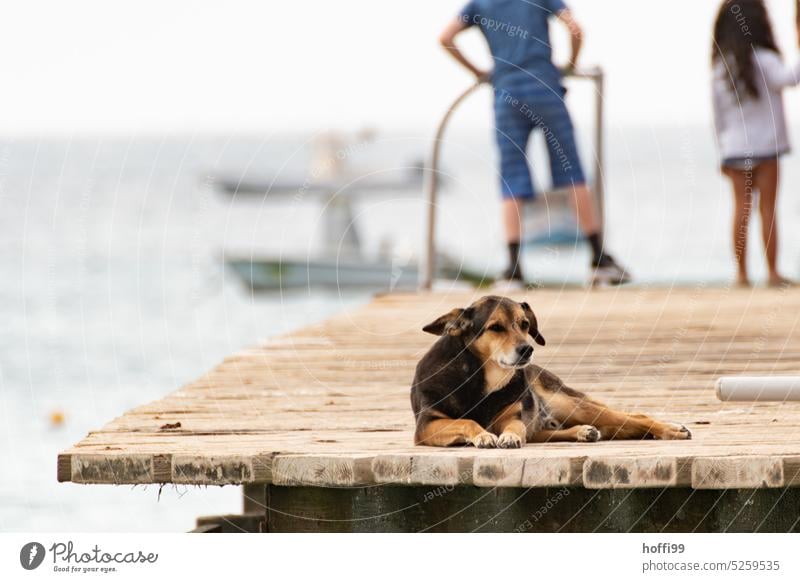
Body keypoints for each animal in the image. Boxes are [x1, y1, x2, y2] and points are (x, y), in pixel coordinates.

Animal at [410, 298, 692, 450]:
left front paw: (508, 436)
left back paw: (670, 429)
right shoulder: (426, 426)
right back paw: (583, 432)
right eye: (495, 327)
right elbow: (466, 421)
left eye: (525, 324)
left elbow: (513, 428)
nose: (527, 349)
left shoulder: (513, 417)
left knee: (633, 417)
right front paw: (483, 435)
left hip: (571, 404)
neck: (482, 381)